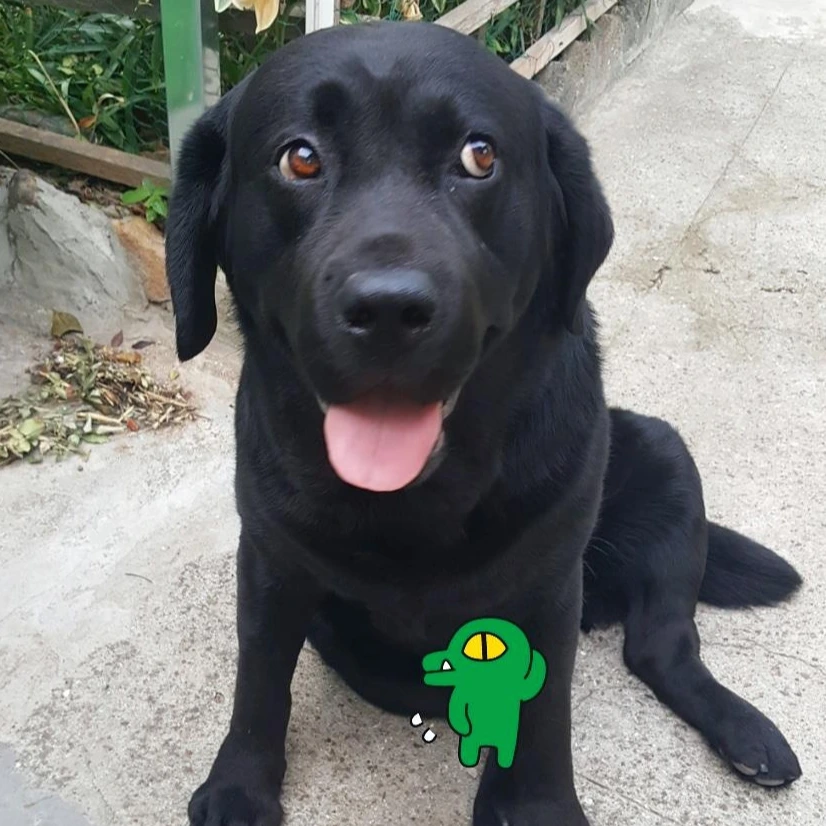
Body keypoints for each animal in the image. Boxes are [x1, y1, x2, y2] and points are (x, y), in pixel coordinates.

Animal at [165, 20, 803, 826]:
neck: (415, 504)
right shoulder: (271, 559)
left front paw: (534, 803)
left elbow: (544, 708)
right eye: (299, 157)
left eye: (480, 155)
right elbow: (259, 680)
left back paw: (748, 734)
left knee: (661, 649)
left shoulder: (548, 580)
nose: (388, 309)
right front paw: (239, 786)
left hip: (664, 457)